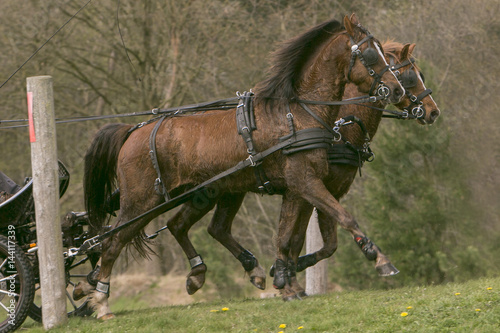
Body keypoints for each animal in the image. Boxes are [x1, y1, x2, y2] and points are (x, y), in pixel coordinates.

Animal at [82, 15, 402, 320]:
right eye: (371, 55)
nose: (396, 90)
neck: (297, 115)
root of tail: (132, 131)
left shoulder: (297, 187)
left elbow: (287, 237)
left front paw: (286, 283)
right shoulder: (305, 182)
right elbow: (343, 218)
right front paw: (380, 260)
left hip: (205, 192)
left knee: (181, 226)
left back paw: (205, 273)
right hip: (143, 201)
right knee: (111, 243)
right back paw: (101, 302)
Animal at [161, 40, 442, 298]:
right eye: (409, 75)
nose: (433, 111)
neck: (335, 126)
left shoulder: (327, 191)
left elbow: (323, 243)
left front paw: (289, 274)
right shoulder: (304, 189)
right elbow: (293, 238)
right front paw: (286, 279)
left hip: (225, 190)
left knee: (200, 227)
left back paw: (234, 271)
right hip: (211, 191)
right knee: (186, 225)